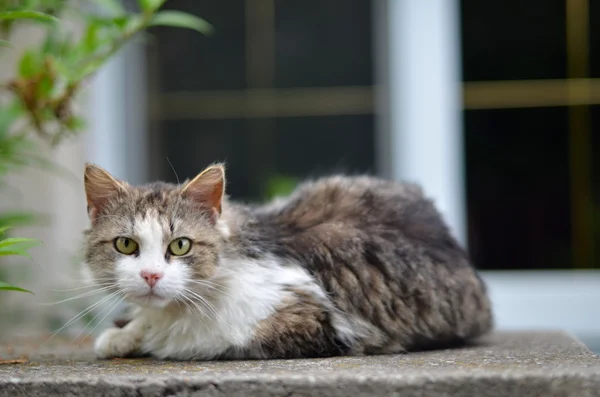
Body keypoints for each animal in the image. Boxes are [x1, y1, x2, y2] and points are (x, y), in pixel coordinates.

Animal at [81, 162, 492, 360]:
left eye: (180, 246)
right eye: (125, 245)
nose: (150, 275)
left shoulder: (310, 321)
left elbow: (193, 341)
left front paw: (142, 335)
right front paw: (124, 334)